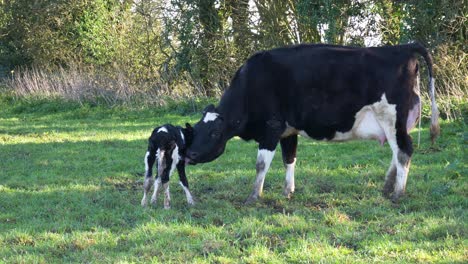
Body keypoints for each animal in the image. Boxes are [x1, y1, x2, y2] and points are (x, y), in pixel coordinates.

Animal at [186, 42, 438, 204]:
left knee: (404, 151)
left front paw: (254, 196)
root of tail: (402, 47)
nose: (190, 154)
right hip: (399, 123)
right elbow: (289, 159)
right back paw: (387, 187)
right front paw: (287, 192)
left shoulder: (271, 127)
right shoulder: (288, 130)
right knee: (398, 153)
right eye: (195, 130)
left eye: (214, 133)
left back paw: (397, 194)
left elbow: (261, 164)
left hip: (392, 118)